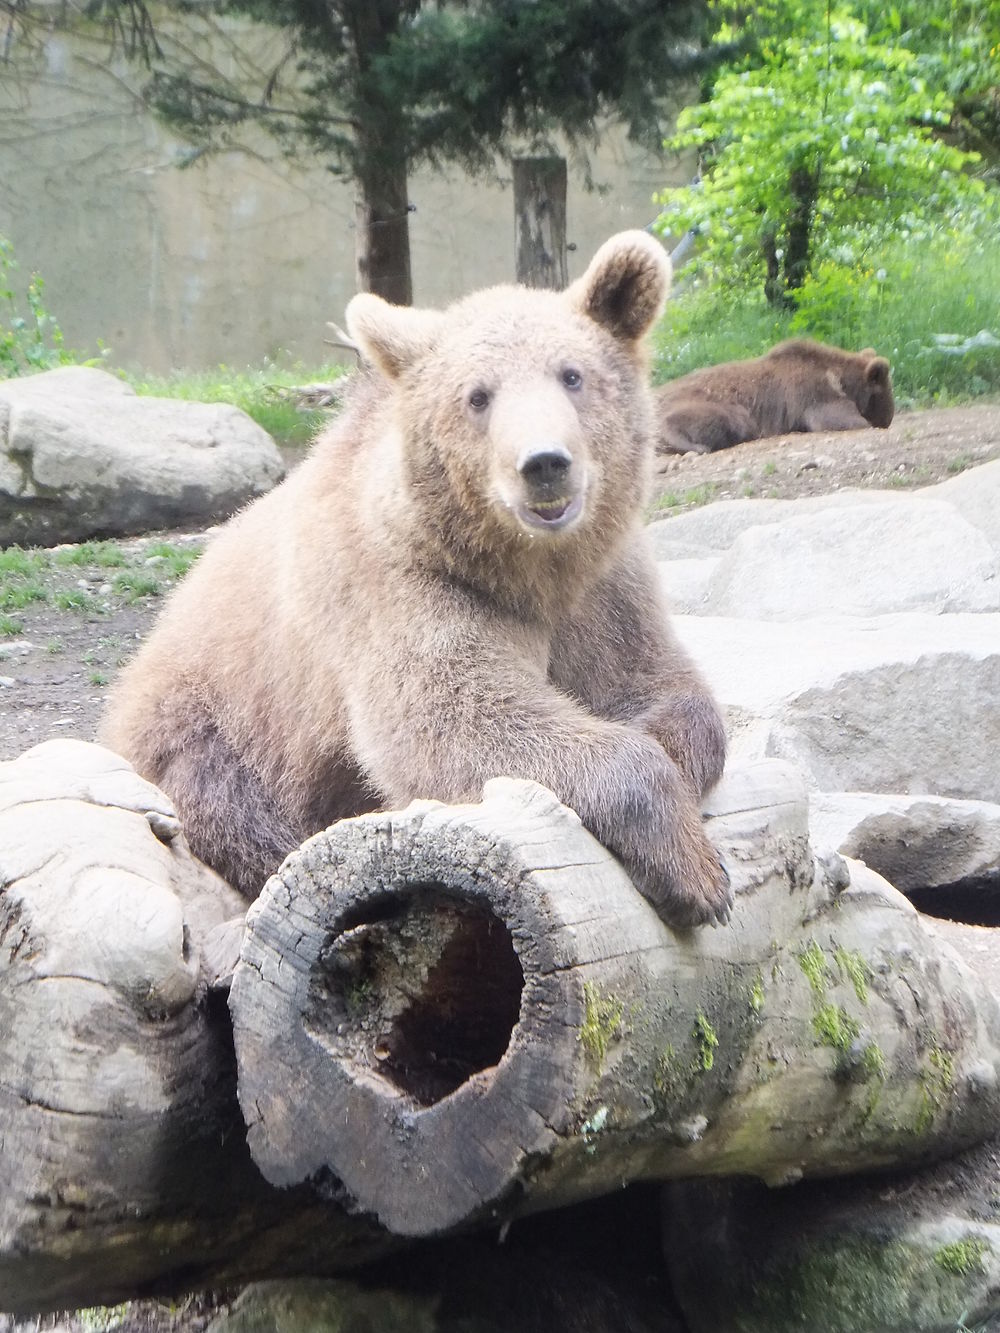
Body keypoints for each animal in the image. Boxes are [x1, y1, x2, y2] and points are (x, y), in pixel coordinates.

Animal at [102, 231, 730, 927]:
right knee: (241, 814)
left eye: (573, 375)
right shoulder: (402, 588)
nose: (544, 463)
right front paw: (695, 873)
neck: (528, 569)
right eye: (478, 395)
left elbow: (666, 689)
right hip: (213, 728)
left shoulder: (604, 591)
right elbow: (454, 719)